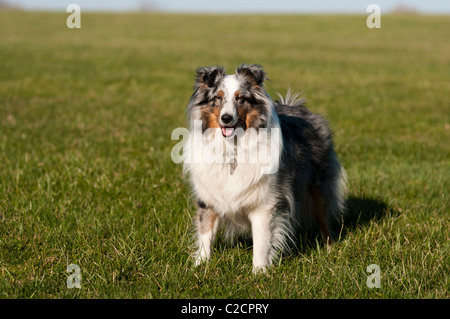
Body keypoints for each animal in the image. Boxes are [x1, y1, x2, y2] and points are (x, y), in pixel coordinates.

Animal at [181, 64, 346, 272]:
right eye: (217, 98)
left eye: (240, 98)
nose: (226, 118)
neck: (233, 148)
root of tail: (297, 107)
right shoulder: (208, 197)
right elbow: (205, 234)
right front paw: (199, 265)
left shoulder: (264, 204)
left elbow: (261, 241)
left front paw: (259, 272)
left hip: (318, 185)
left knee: (323, 217)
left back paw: (330, 249)